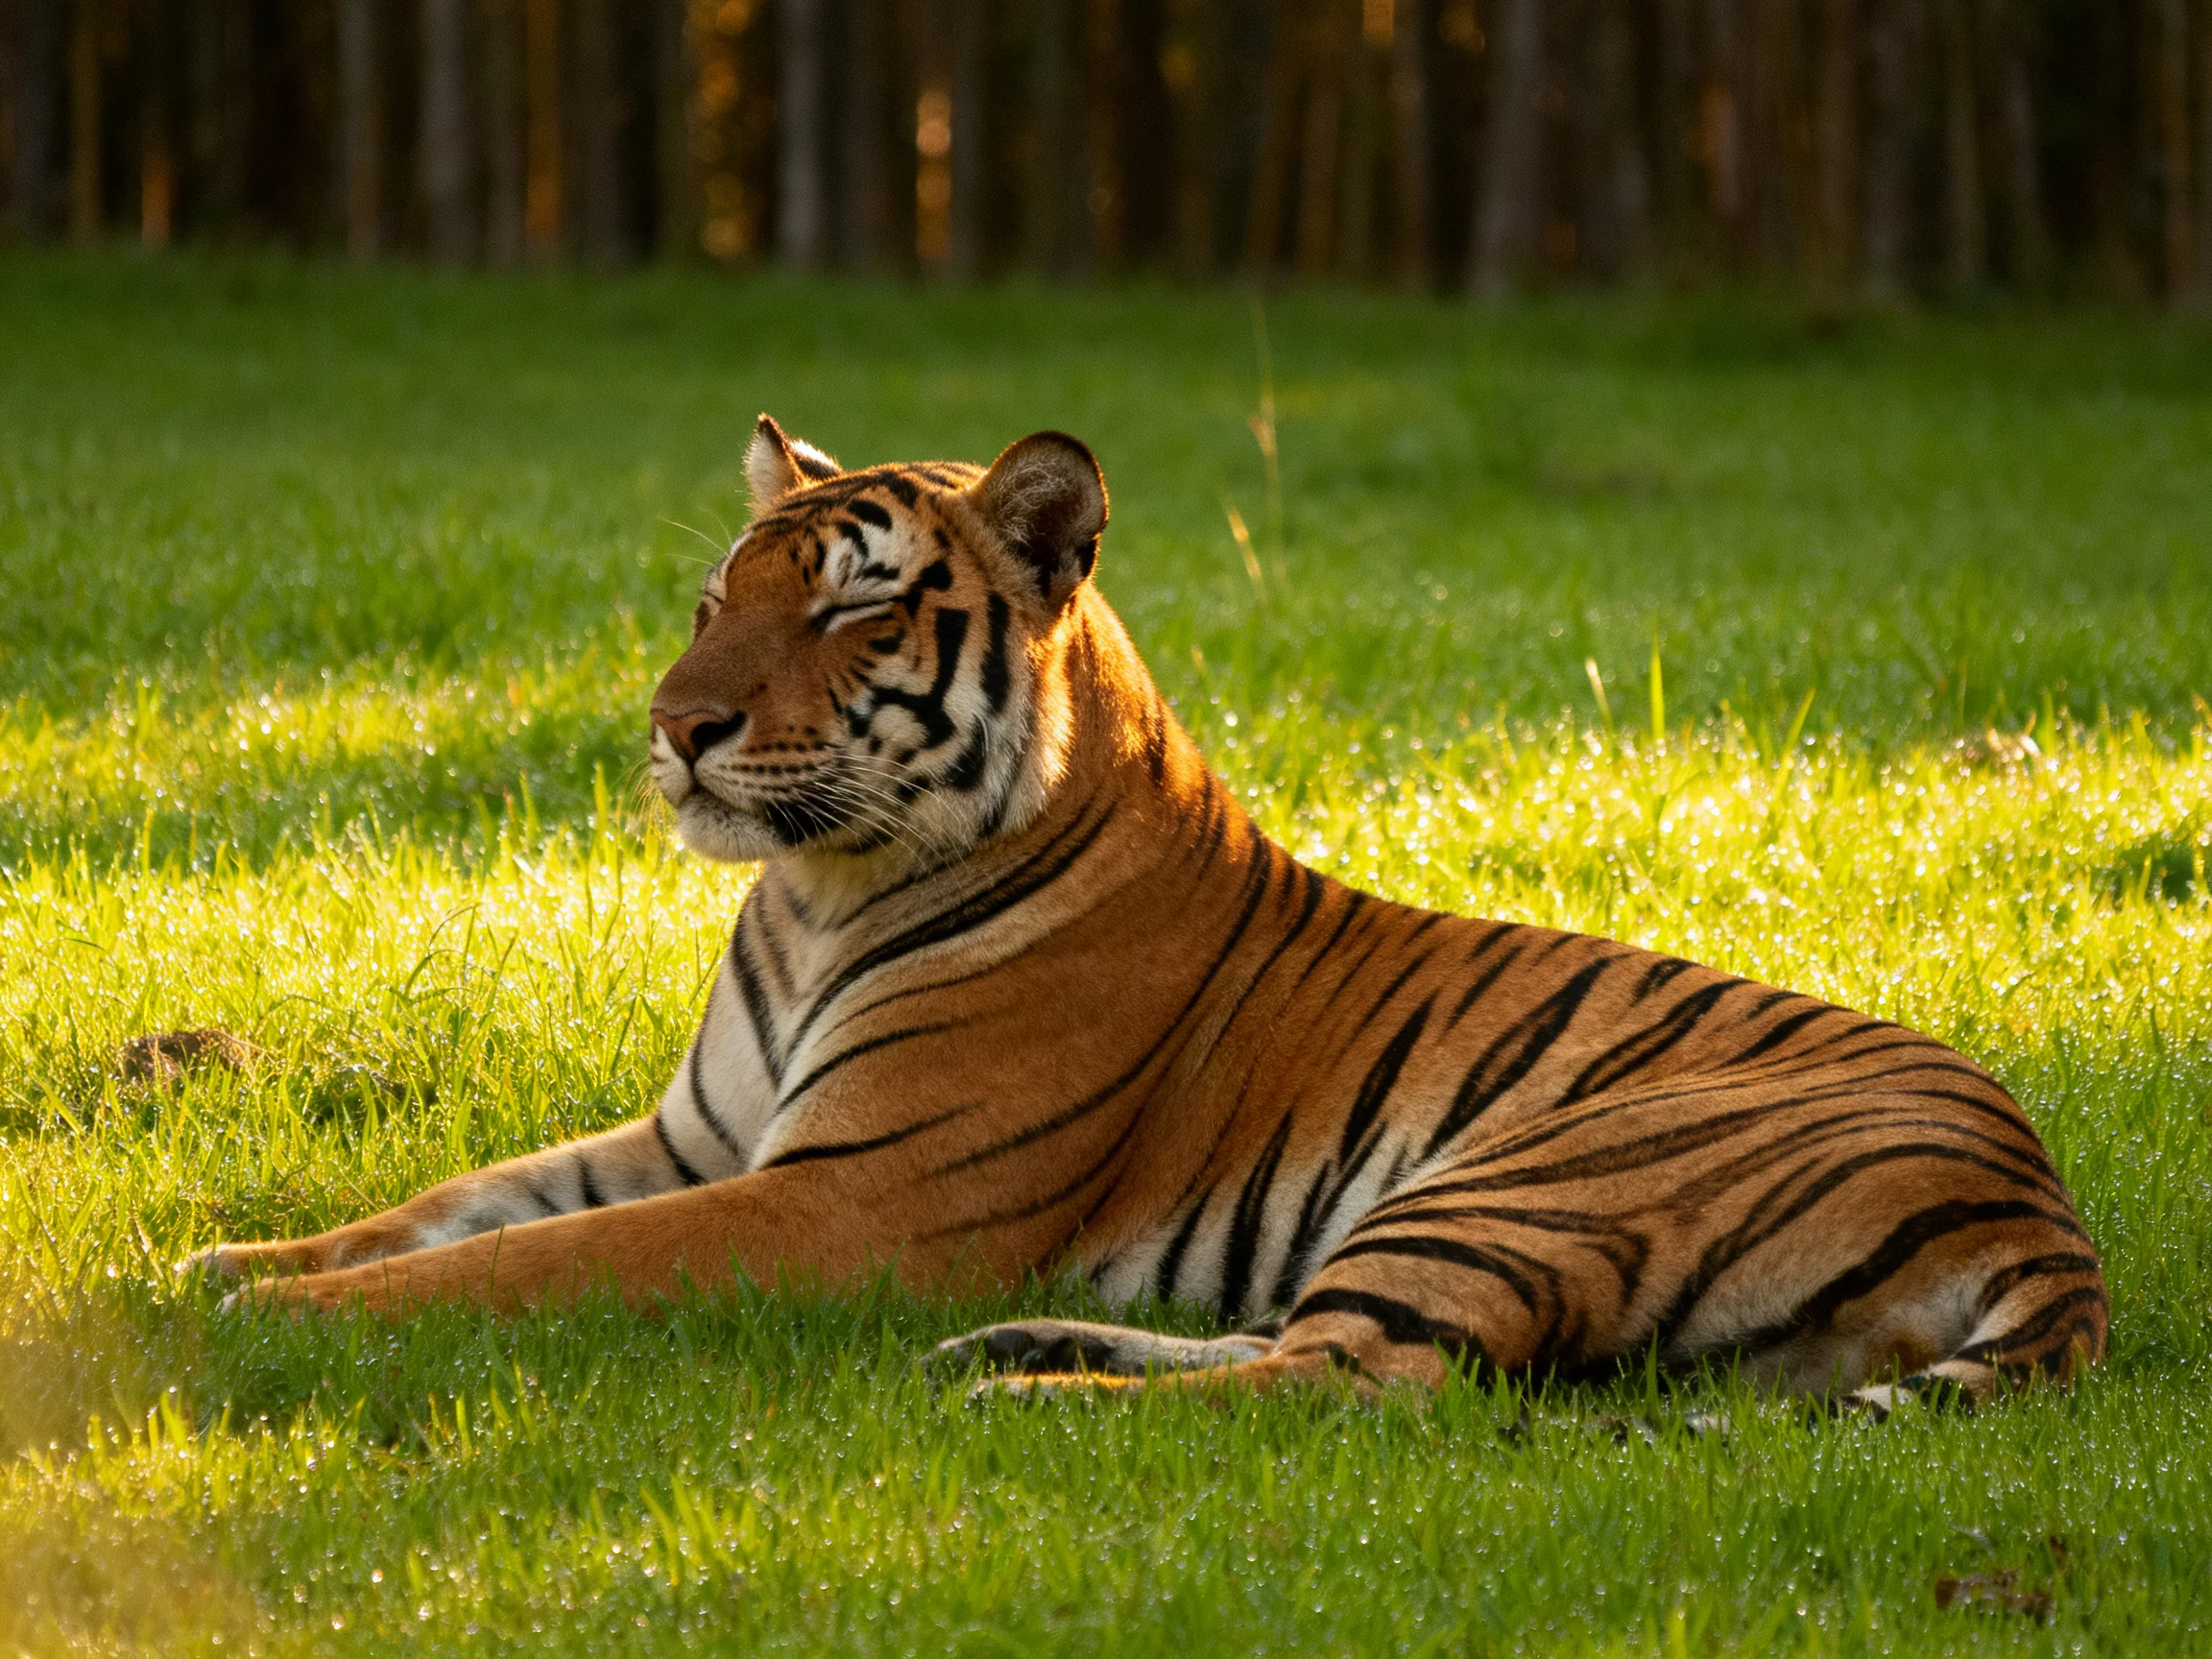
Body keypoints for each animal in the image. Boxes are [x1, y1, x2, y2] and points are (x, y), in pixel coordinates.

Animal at [195, 416, 2107, 1414]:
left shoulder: (839, 1197)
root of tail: (2043, 1201)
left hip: (1523, 1176)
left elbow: (520, 1263)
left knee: (1348, 1383)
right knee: (1313, 1345)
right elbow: (441, 1209)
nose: (678, 726)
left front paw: (267, 1327)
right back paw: (1025, 1345)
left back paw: (1024, 1397)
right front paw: (230, 1262)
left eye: (850, 611)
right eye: (712, 597)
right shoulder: (693, 1140)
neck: (813, 896)